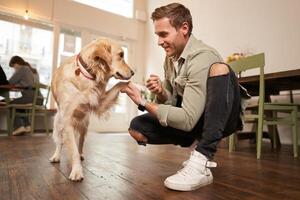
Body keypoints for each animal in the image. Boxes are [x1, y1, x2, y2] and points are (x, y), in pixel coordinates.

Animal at [49, 38, 134, 180]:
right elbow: (71, 149)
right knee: (60, 142)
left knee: (81, 141)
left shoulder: (100, 102)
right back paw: (56, 156)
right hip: (58, 123)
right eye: (121, 55)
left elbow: (119, 84)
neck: (88, 73)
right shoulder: (67, 121)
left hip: (85, 124)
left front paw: (137, 87)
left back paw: (81, 154)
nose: (133, 72)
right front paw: (77, 171)